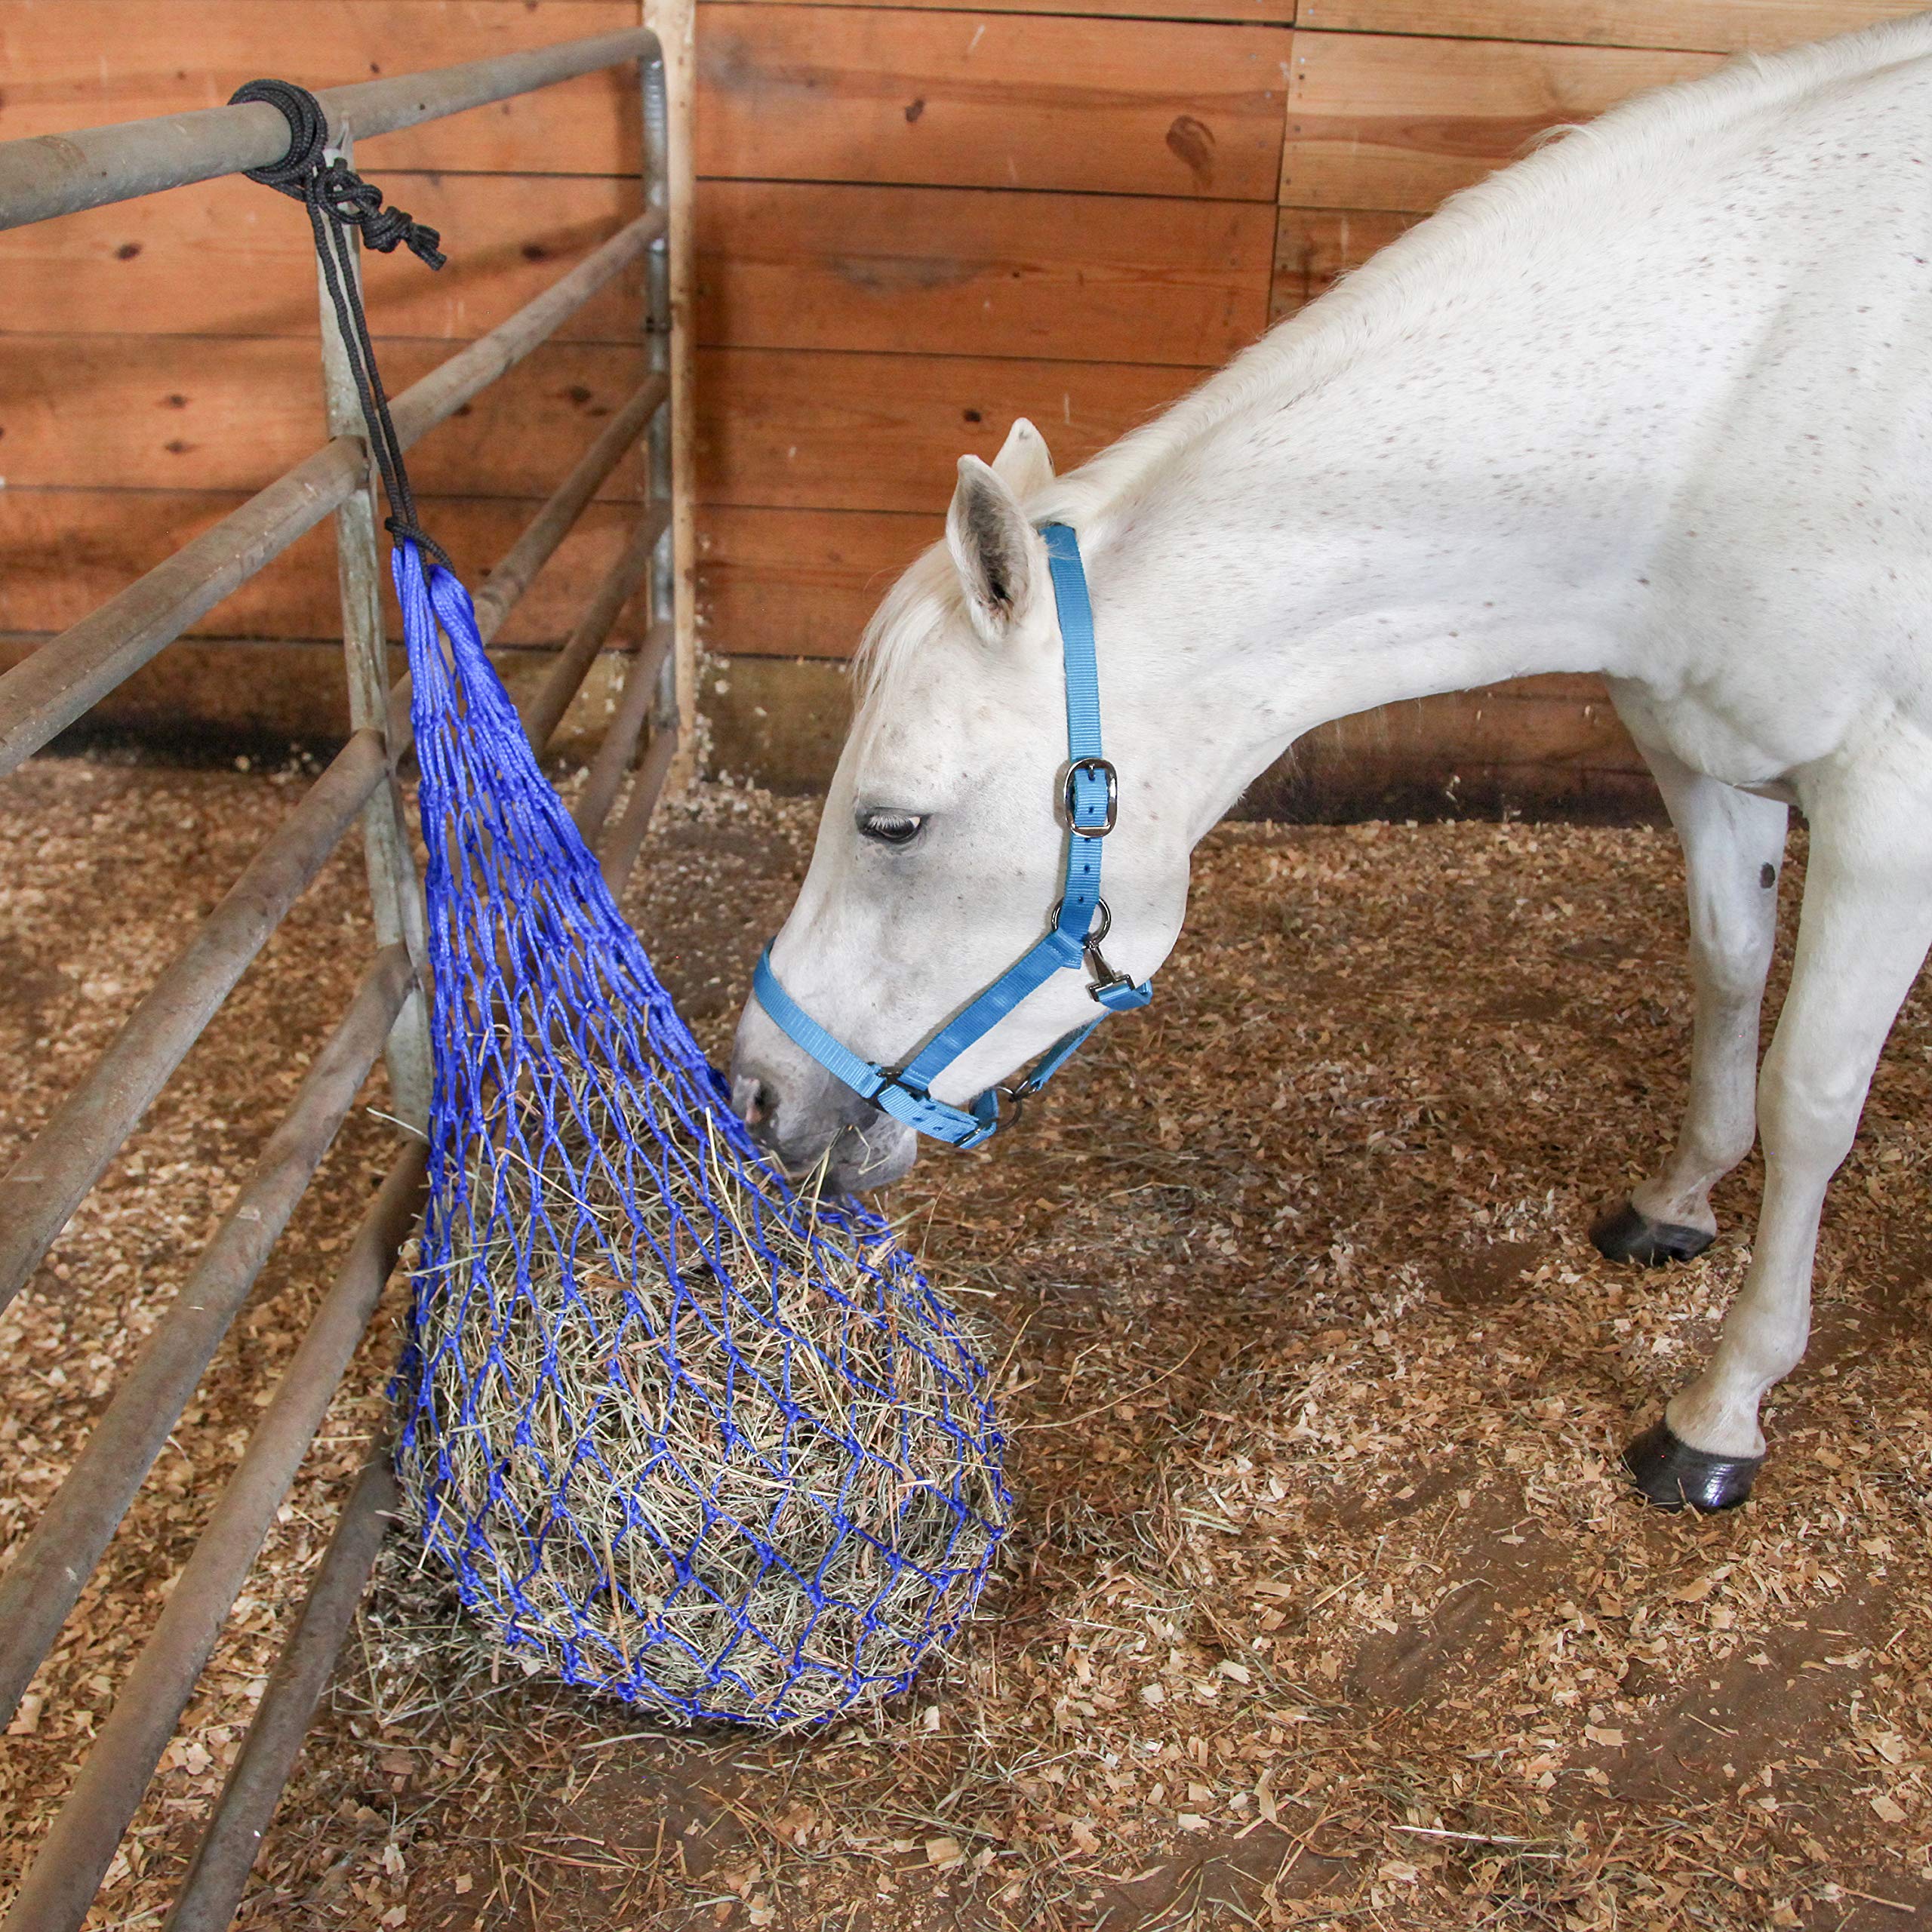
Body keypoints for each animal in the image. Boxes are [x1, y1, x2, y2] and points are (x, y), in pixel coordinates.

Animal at [730, 13, 1932, 1510]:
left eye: (892, 823)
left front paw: (1721, 1409)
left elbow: (1811, 1099)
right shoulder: (1704, 749)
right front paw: (1676, 1203)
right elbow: (1724, 975)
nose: (755, 1092)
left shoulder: (1891, 819)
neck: (1734, 393)